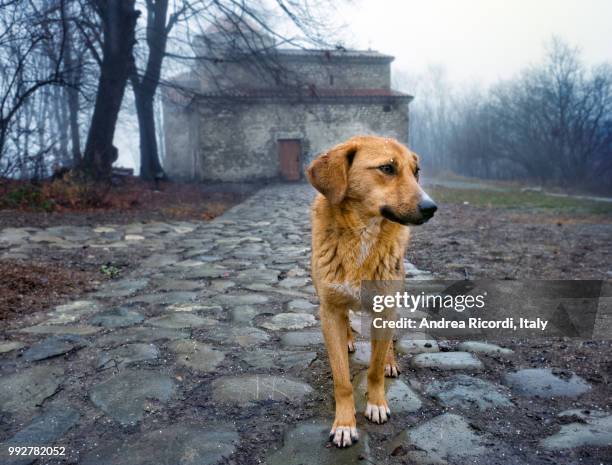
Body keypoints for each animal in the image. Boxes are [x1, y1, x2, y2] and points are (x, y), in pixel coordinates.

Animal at [306, 134, 436, 446]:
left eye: (416, 172)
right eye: (387, 168)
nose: (431, 207)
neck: (362, 234)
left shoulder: (385, 308)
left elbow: (375, 369)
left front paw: (376, 404)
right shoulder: (329, 310)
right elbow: (341, 380)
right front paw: (344, 423)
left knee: (385, 344)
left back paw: (389, 360)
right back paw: (349, 339)